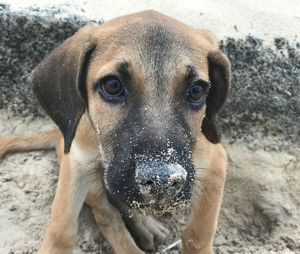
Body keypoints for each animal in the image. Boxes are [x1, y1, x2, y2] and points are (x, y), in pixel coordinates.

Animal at [0, 10, 230, 254]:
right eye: (112, 85)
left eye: (196, 91)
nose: (162, 180)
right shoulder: (77, 163)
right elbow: (62, 230)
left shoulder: (215, 162)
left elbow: (197, 234)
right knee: (107, 216)